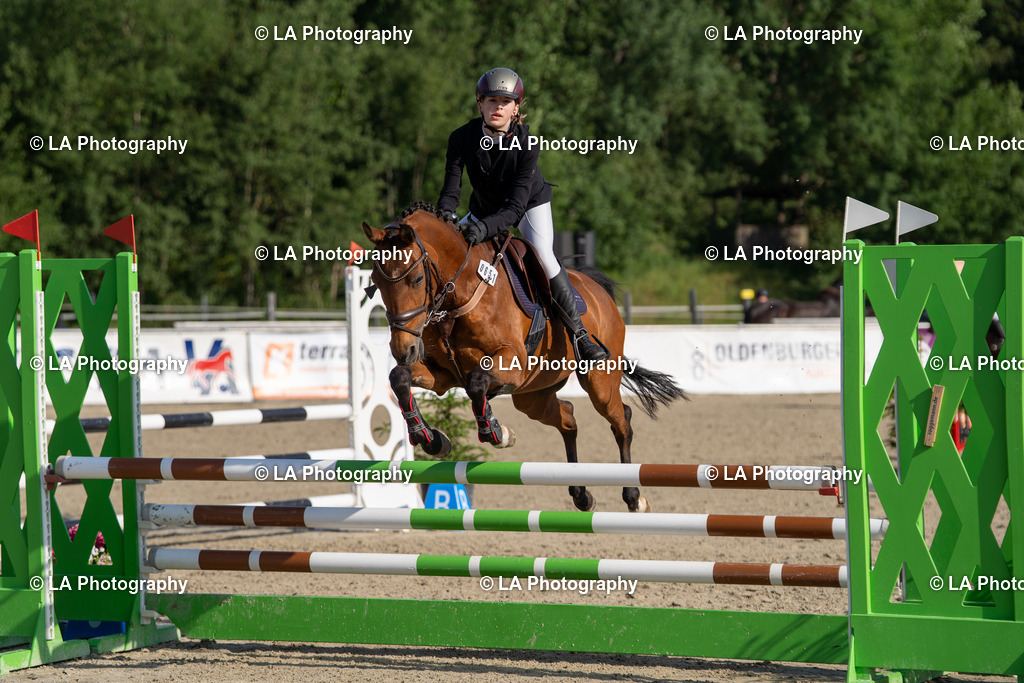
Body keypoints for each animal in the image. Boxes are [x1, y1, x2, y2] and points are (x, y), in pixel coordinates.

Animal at [361, 202, 686, 512]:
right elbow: (399, 378)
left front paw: (497, 432)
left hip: (599, 383)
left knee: (622, 422)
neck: (461, 295)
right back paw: (581, 495)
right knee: (568, 418)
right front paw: (431, 439)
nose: (403, 350)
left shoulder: (511, 364)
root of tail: (597, 290)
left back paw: (634, 497)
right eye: (376, 281)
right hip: (533, 396)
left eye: (416, 279)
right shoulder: (443, 375)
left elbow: (477, 382)